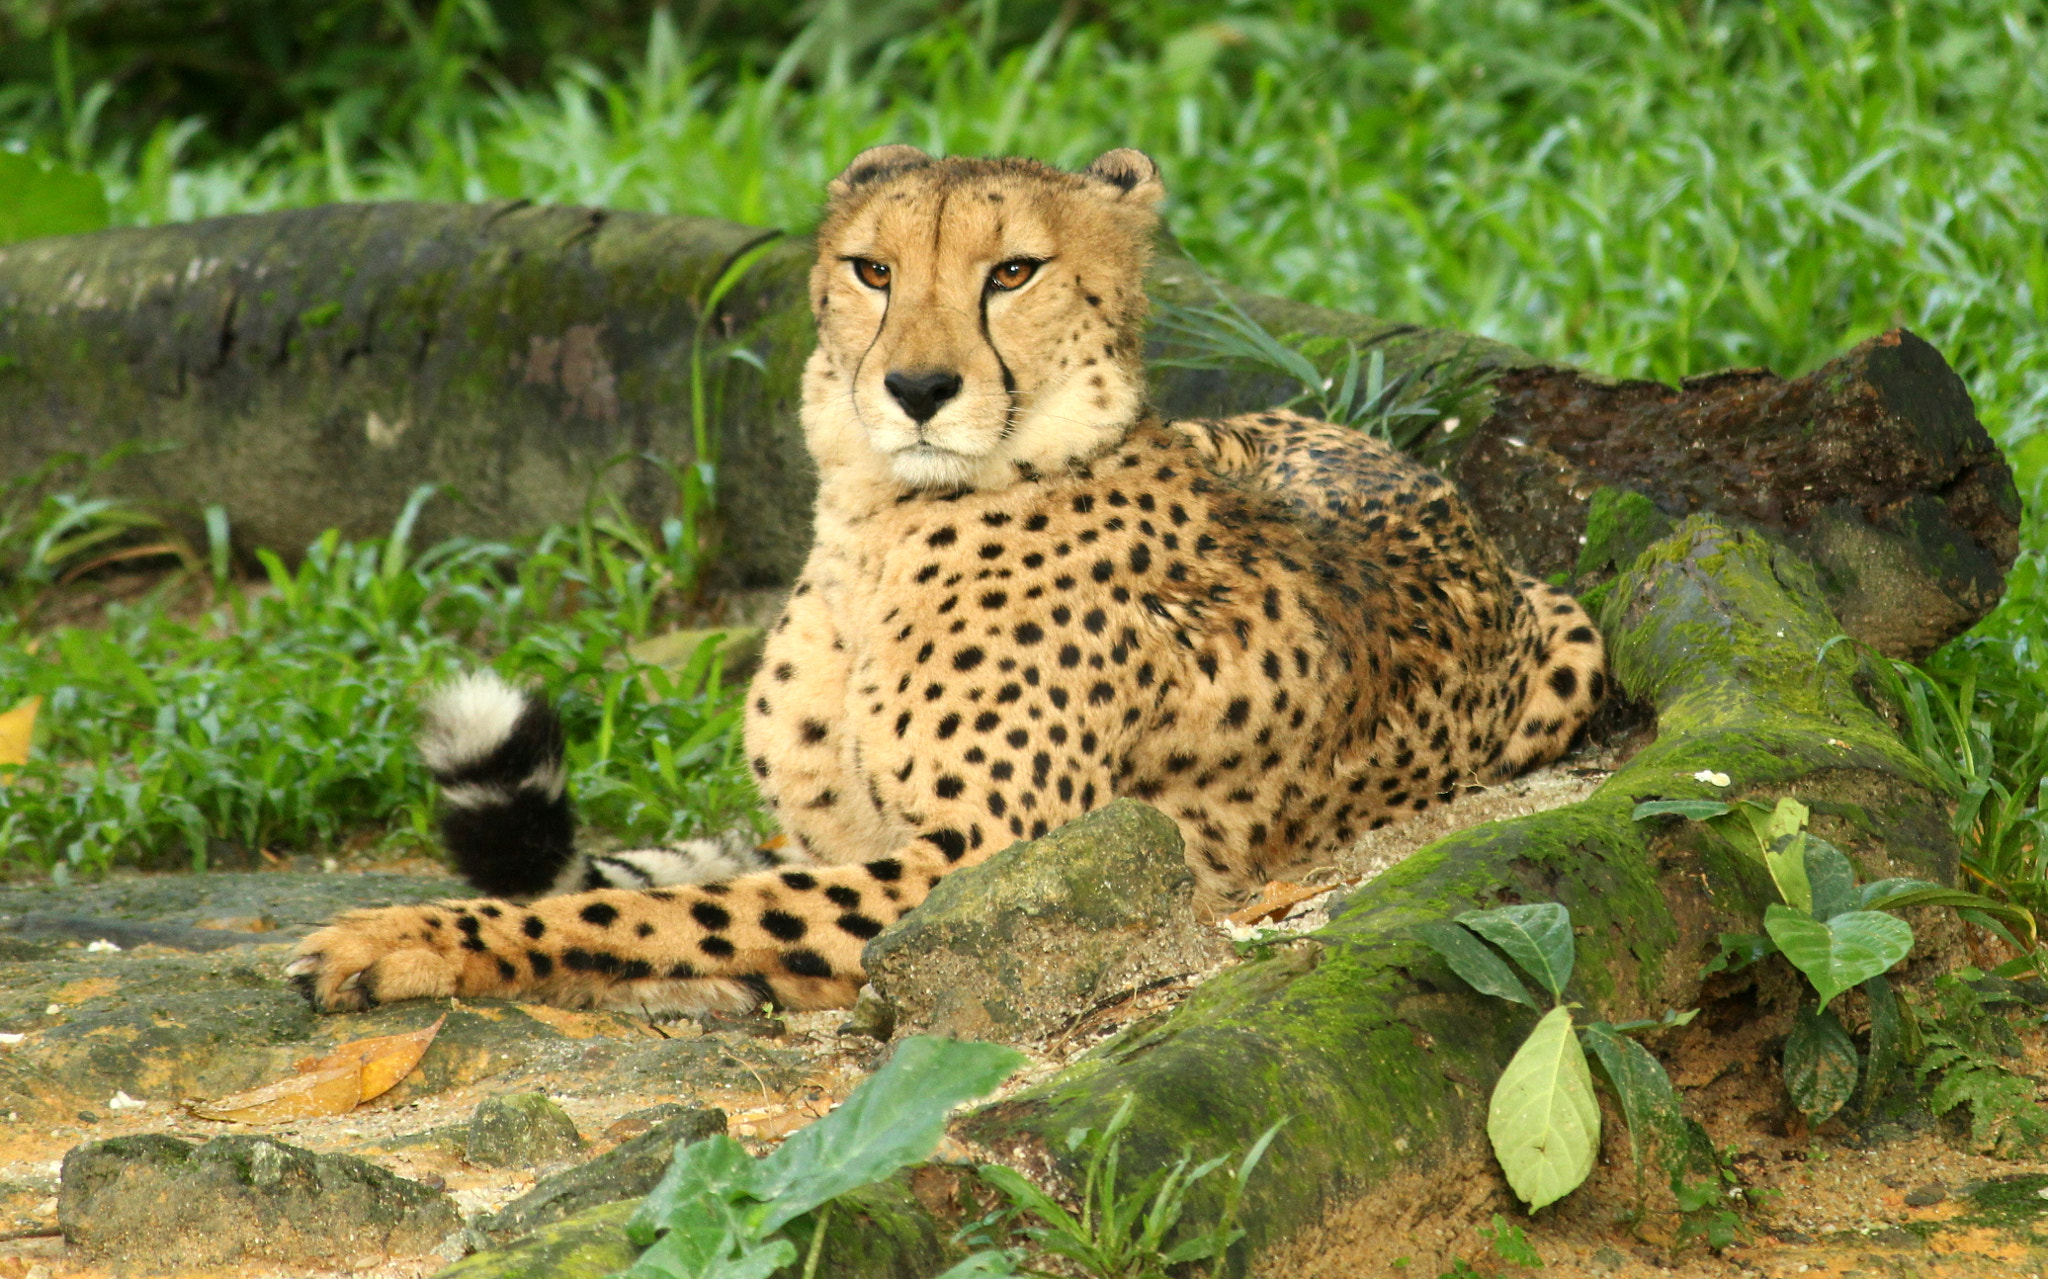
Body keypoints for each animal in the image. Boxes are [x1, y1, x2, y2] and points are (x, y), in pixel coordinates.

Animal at [287, 145, 1606, 1018]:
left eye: (1013, 271)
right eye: (871, 269)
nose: (916, 388)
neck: (877, 528)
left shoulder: (981, 863)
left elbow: (647, 913)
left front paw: (404, 936)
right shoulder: (832, 835)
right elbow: (685, 881)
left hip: (1576, 632)